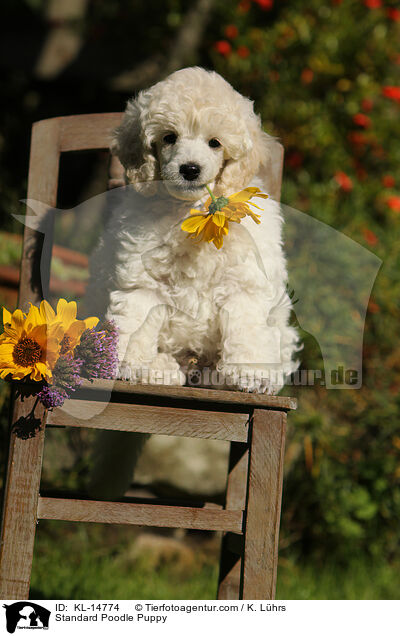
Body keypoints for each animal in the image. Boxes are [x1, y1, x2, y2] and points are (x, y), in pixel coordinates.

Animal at [87, 64, 300, 392]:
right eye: (169, 138)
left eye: (215, 143)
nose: (189, 169)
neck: (194, 210)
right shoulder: (142, 276)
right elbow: (135, 316)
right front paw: (123, 363)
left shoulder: (245, 281)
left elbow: (248, 326)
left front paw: (253, 374)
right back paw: (160, 369)